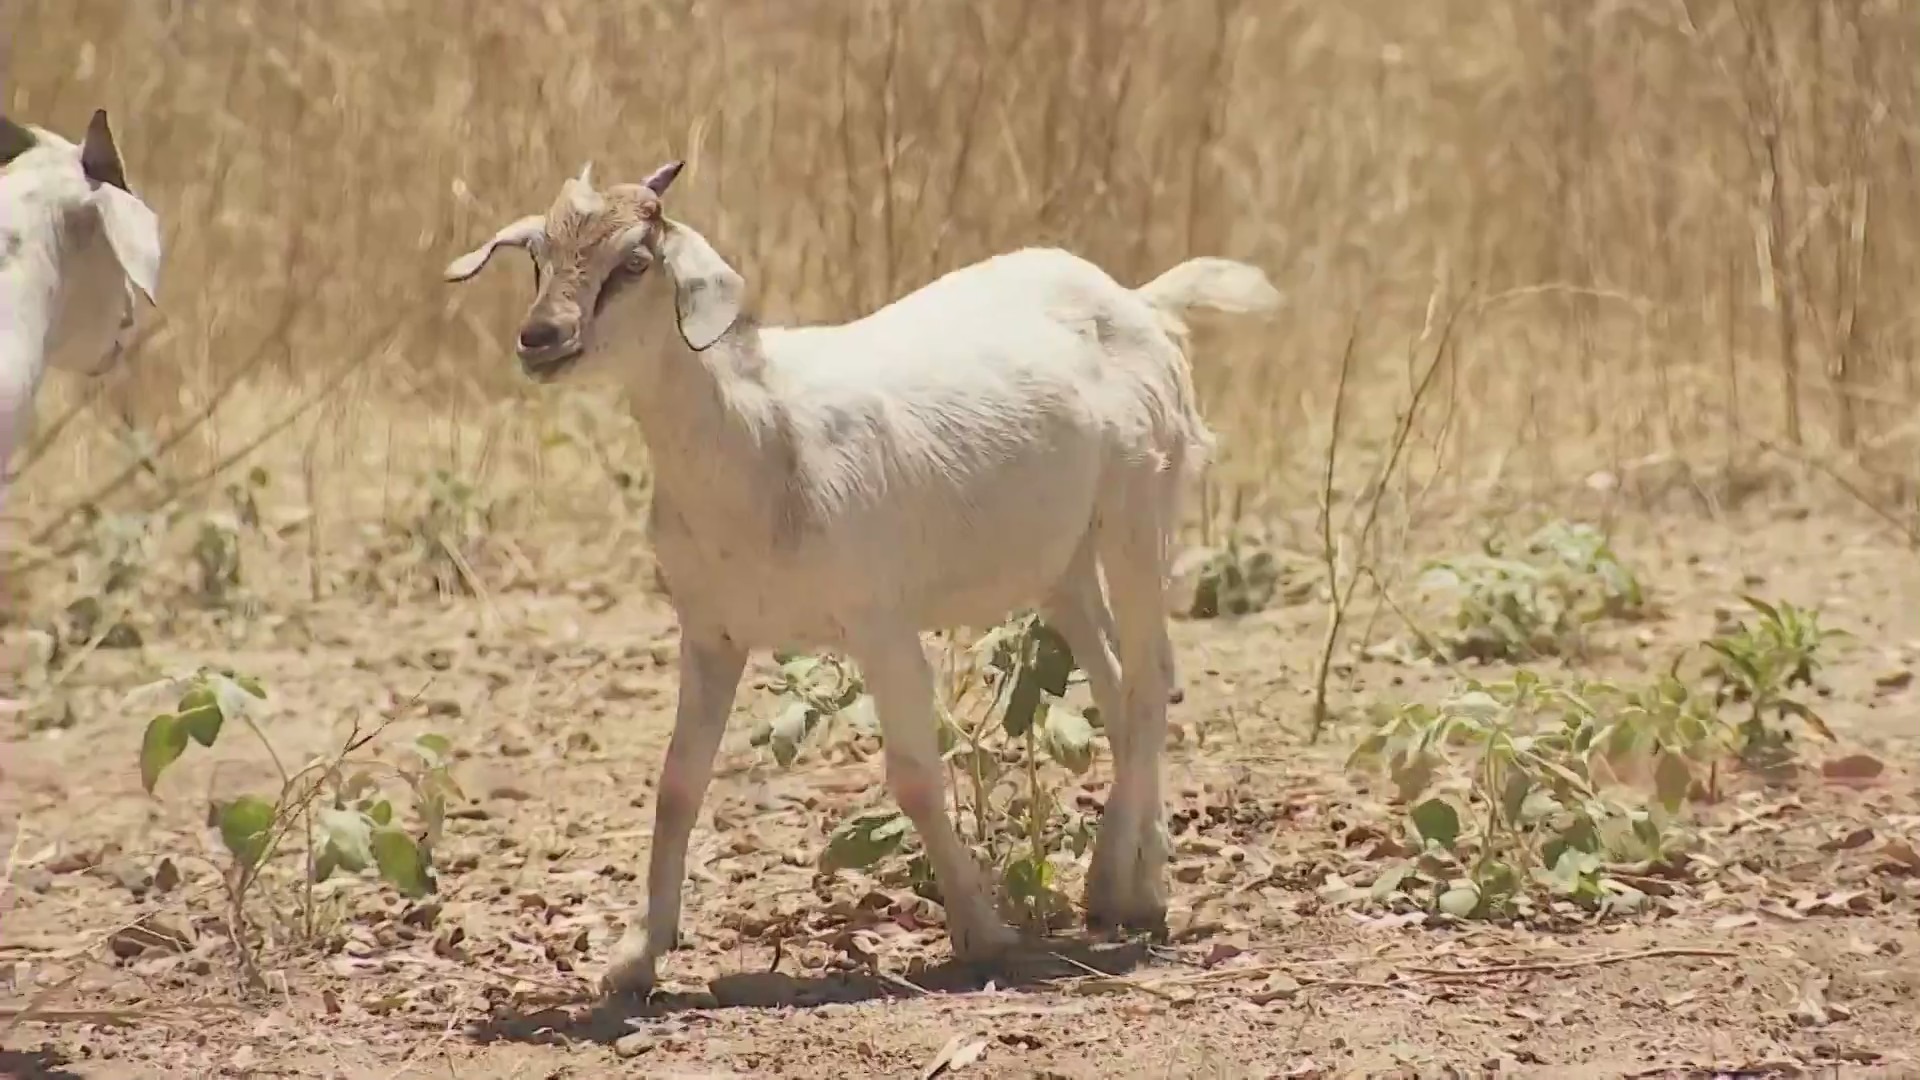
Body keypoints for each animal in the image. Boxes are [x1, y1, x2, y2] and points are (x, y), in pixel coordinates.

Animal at [439, 159, 1274, 991]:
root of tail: (1138, 301)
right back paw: (1135, 885)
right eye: (539, 258)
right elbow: (678, 784)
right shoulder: (710, 632)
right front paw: (635, 957)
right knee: (1115, 682)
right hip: (1060, 558)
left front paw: (983, 933)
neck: (761, 438)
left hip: (1139, 507)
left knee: (1149, 678)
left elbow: (914, 776)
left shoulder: (880, 623)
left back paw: (1119, 892)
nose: (540, 338)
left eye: (634, 263)